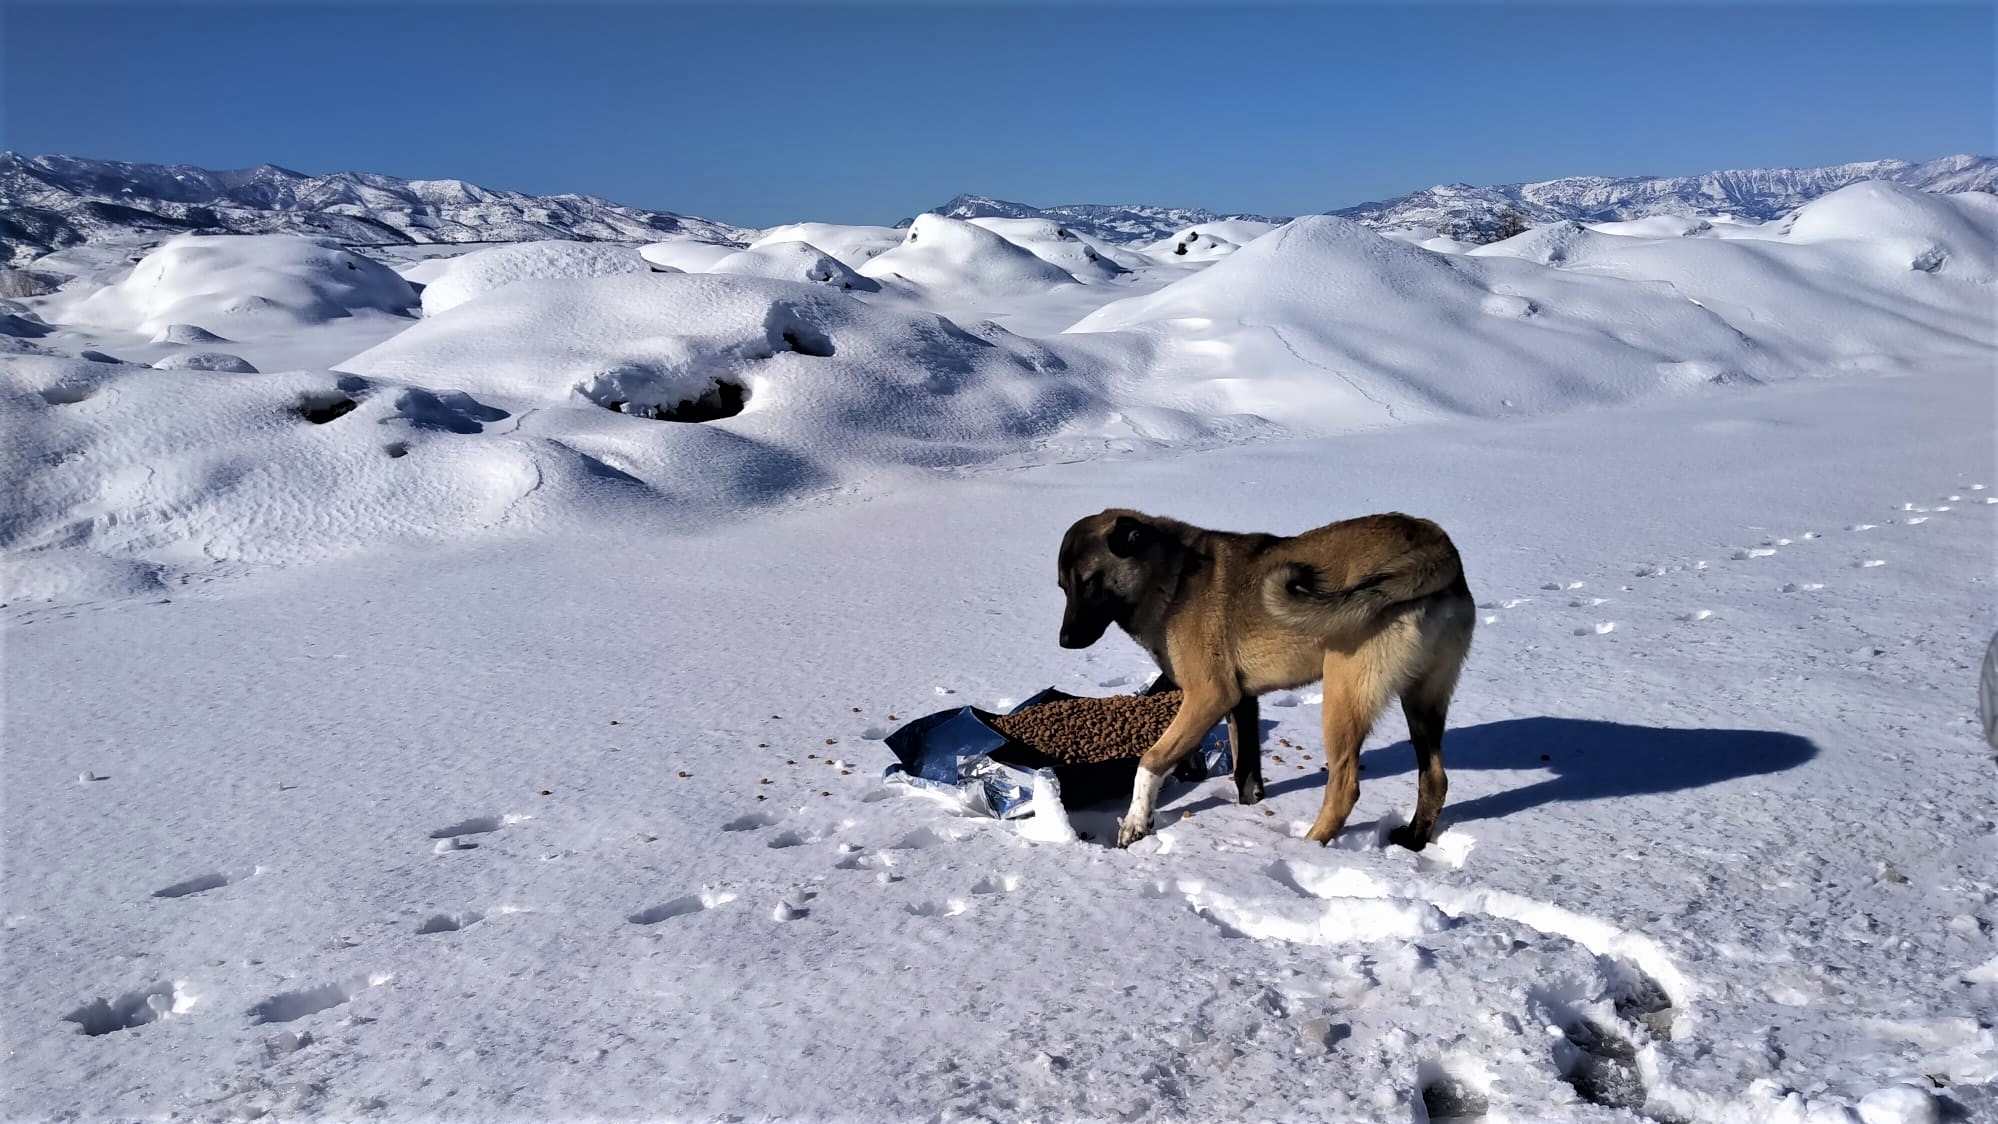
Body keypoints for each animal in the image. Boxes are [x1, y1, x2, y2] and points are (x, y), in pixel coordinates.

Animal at [1054, 507, 1478, 846]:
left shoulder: (1210, 696)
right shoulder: (1242, 702)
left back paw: (1308, 846)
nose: (1064, 641)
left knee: (1345, 788)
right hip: (1422, 699)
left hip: (1343, 696)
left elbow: (1151, 759)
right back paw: (1413, 841)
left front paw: (1135, 822)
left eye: (1089, 582)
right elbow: (1245, 773)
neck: (1173, 578)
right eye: (1063, 586)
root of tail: (1434, 545)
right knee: (1434, 779)